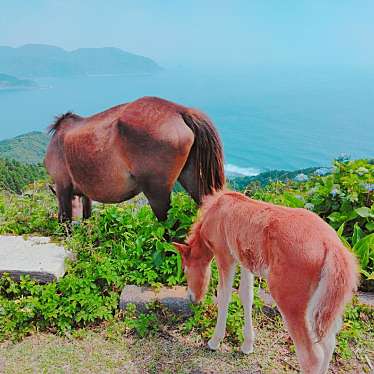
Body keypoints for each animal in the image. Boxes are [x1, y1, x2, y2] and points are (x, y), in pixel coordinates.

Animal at [44, 97, 225, 225]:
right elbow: (87, 218)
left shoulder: (62, 186)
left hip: (157, 192)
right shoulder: (85, 196)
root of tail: (180, 111)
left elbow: (65, 221)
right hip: (192, 179)